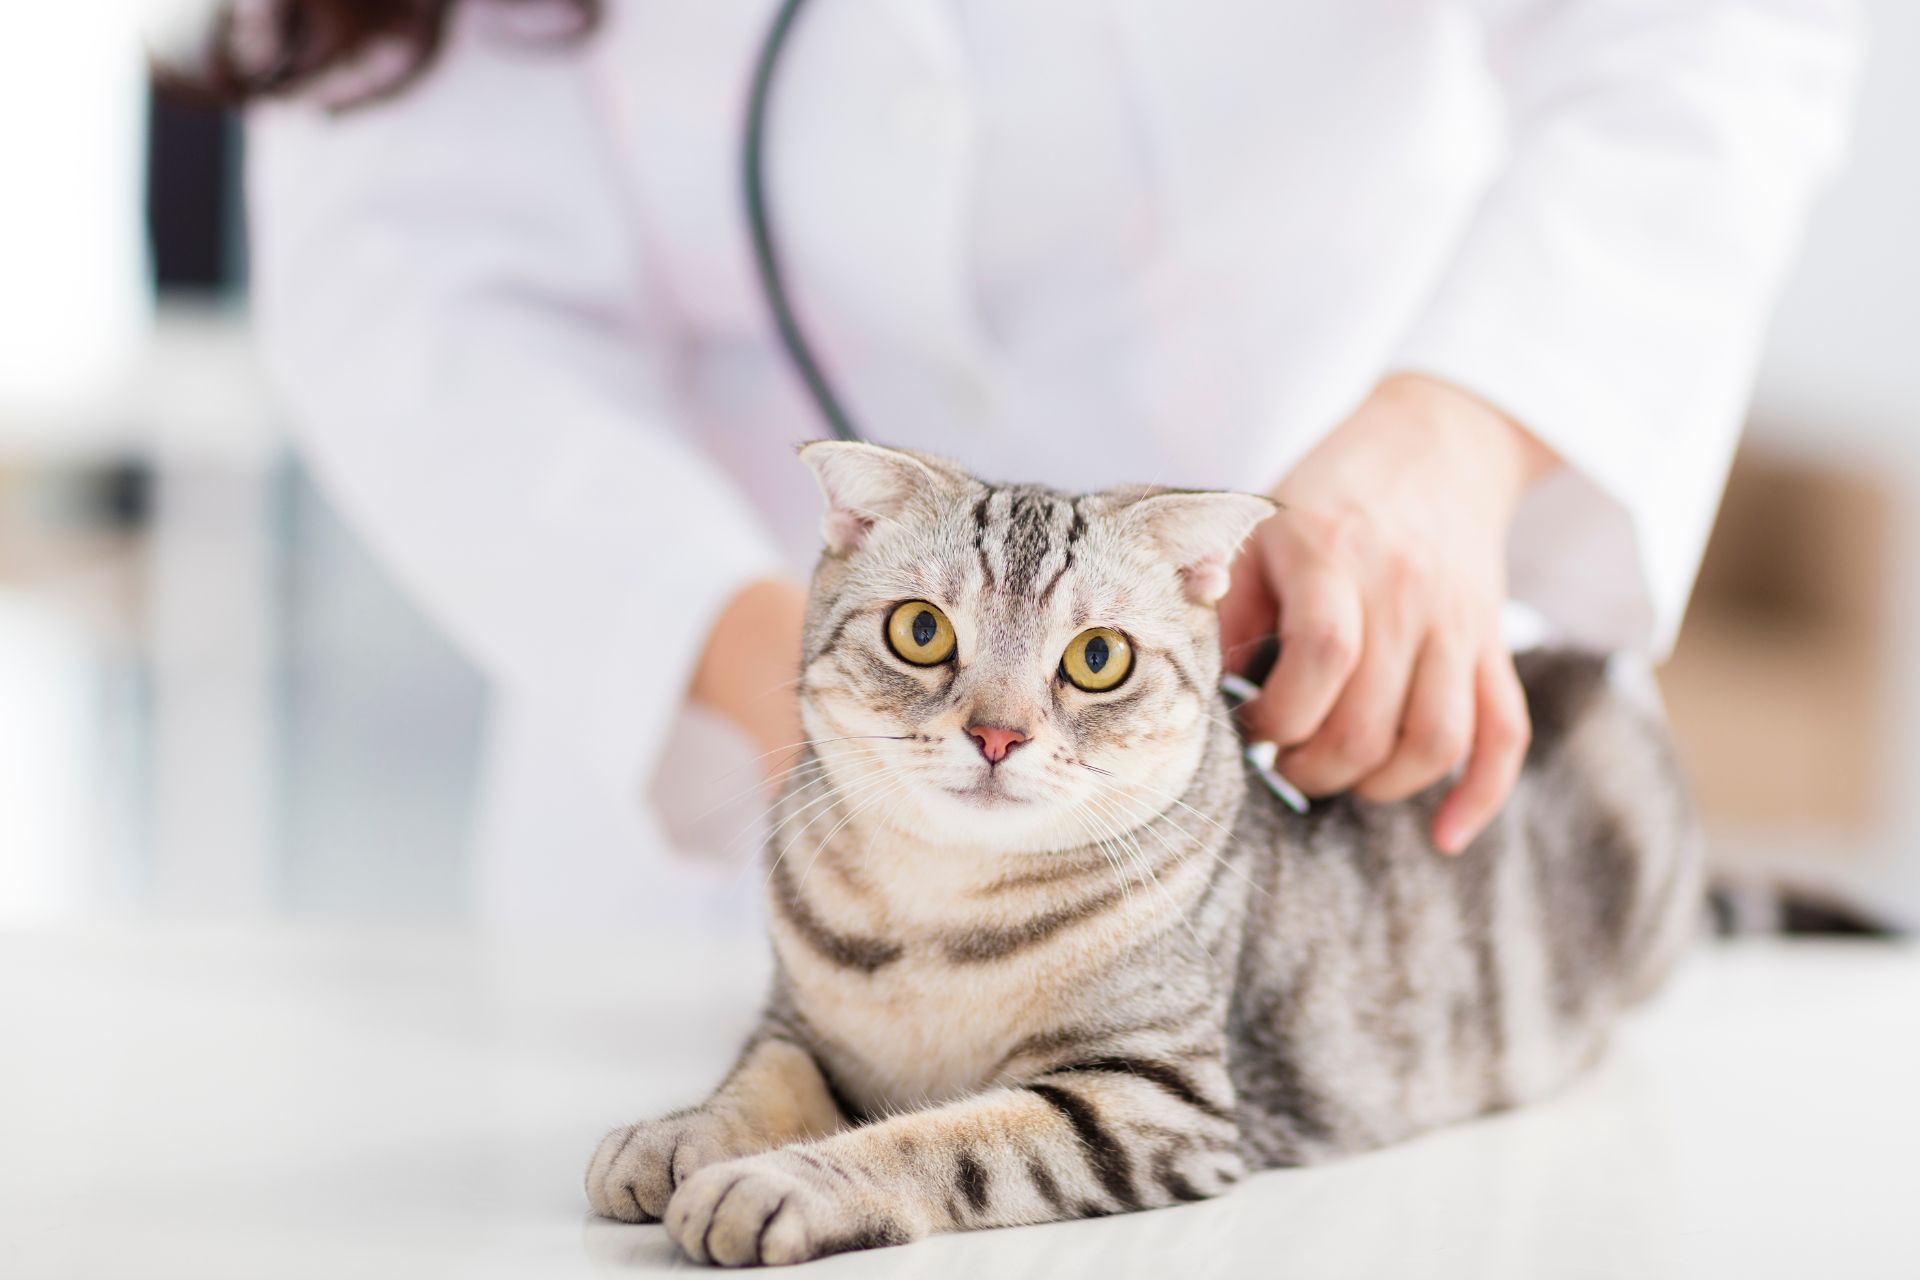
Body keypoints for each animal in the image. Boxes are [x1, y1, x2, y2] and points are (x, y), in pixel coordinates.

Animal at [579, 445, 1697, 1266]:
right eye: (921, 631)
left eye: (1097, 658)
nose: (996, 734)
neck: (938, 914)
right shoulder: (799, 1023)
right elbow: (758, 1080)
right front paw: (675, 1133)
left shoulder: (1149, 1099)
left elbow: (940, 1138)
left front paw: (781, 1179)